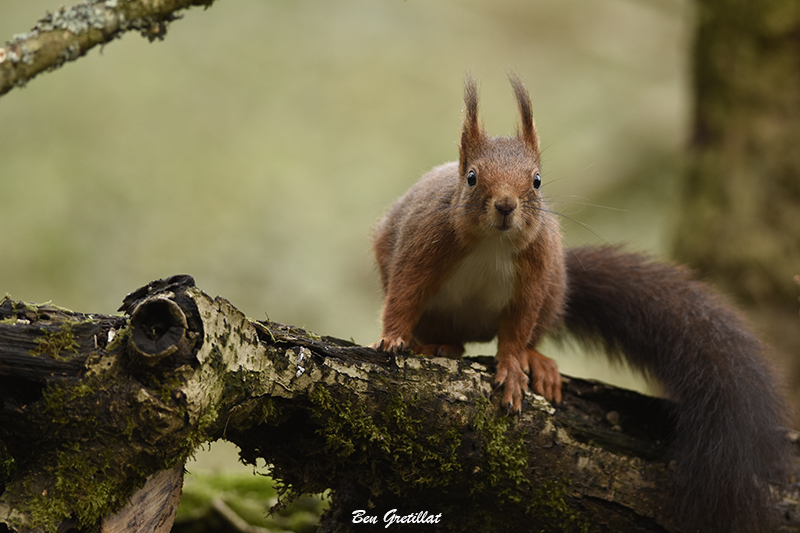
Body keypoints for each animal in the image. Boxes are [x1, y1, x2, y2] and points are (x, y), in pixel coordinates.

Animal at [372, 75, 792, 532]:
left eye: (537, 180)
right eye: (470, 177)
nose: (505, 205)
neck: (492, 242)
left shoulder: (535, 274)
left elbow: (517, 328)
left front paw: (513, 368)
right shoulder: (424, 244)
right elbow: (405, 291)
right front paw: (394, 338)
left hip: (555, 286)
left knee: (529, 332)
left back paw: (536, 362)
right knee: (450, 337)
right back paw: (435, 345)